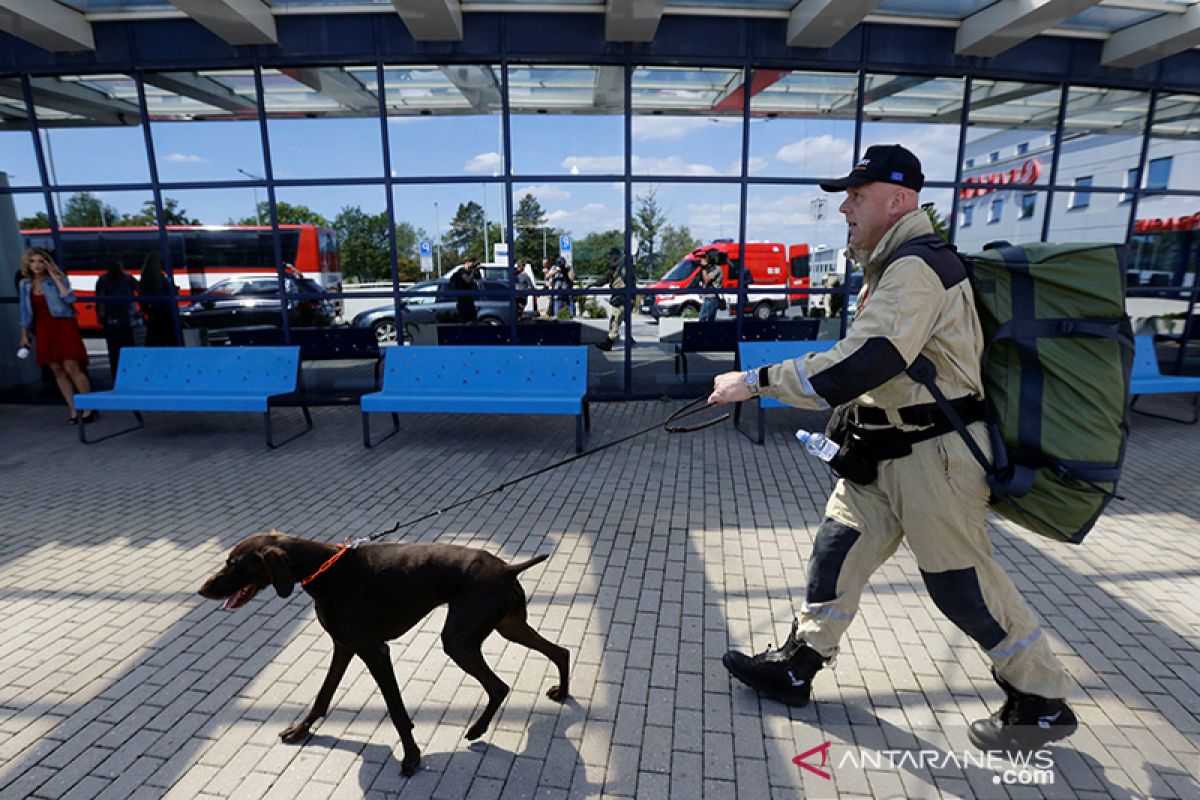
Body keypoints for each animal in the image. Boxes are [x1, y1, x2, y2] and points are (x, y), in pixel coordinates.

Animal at [196, 532, 571, 777]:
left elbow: (396, 711)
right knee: (561, 652)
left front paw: (412, 757)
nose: (201, 589)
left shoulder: (375, 652)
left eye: (234, 564)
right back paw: (562, 692)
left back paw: (478, 729)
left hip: (459, 641)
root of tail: (508, 568)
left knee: (499, 686)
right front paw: (301, 729)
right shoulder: (344, 647)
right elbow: (323, 696)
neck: (327, 571)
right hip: (508, 626)